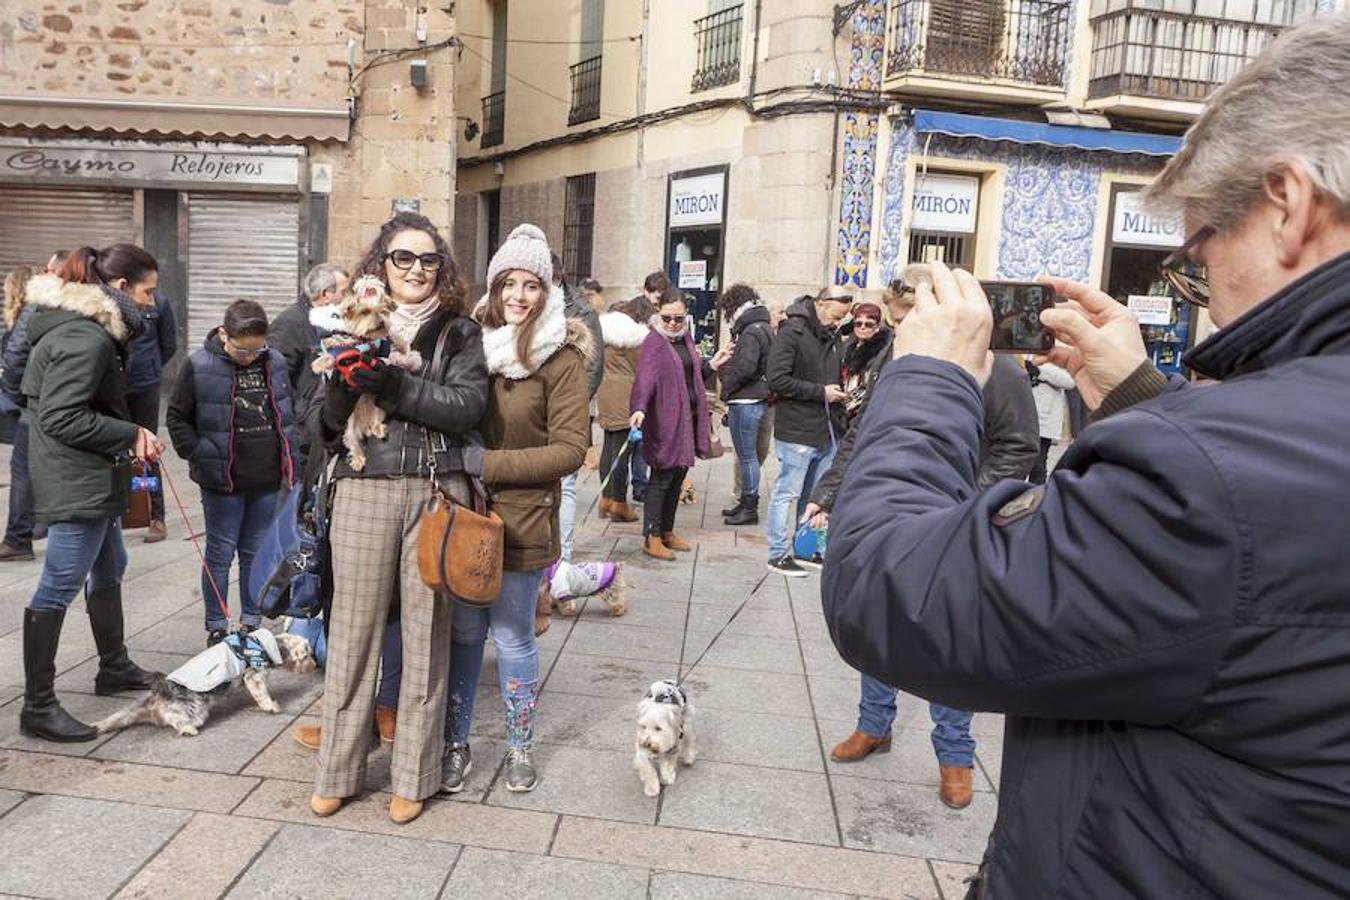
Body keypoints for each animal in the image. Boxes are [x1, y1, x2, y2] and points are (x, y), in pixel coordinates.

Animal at [310, 275, 421, 472]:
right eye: (365, 311)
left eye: (383, 310)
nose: (381, 322)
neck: (364, 339)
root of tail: (364, 424)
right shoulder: (343, 345)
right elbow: (334, 352)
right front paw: (320, 363)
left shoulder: (382, 343)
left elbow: (392, 337)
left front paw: (401, 346)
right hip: (349, 424)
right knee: (352, 440)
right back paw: (358, 458)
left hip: (378, 407)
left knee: (376, 421)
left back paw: (378, 429)